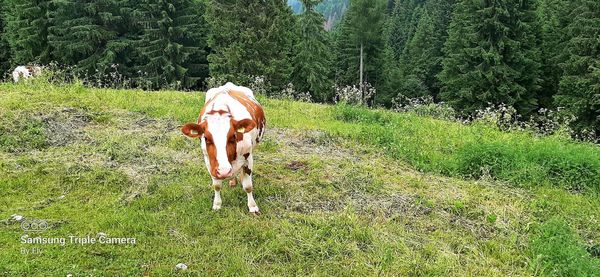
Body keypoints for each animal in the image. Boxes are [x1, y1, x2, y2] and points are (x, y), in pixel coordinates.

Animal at [182, 81, 266, 213]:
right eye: (206, 138)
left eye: (233, 136)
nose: (224, 171)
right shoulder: (209, 161)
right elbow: (216, 185)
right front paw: (217, 204)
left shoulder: (248, 157)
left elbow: (248, 186)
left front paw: (252, 207)